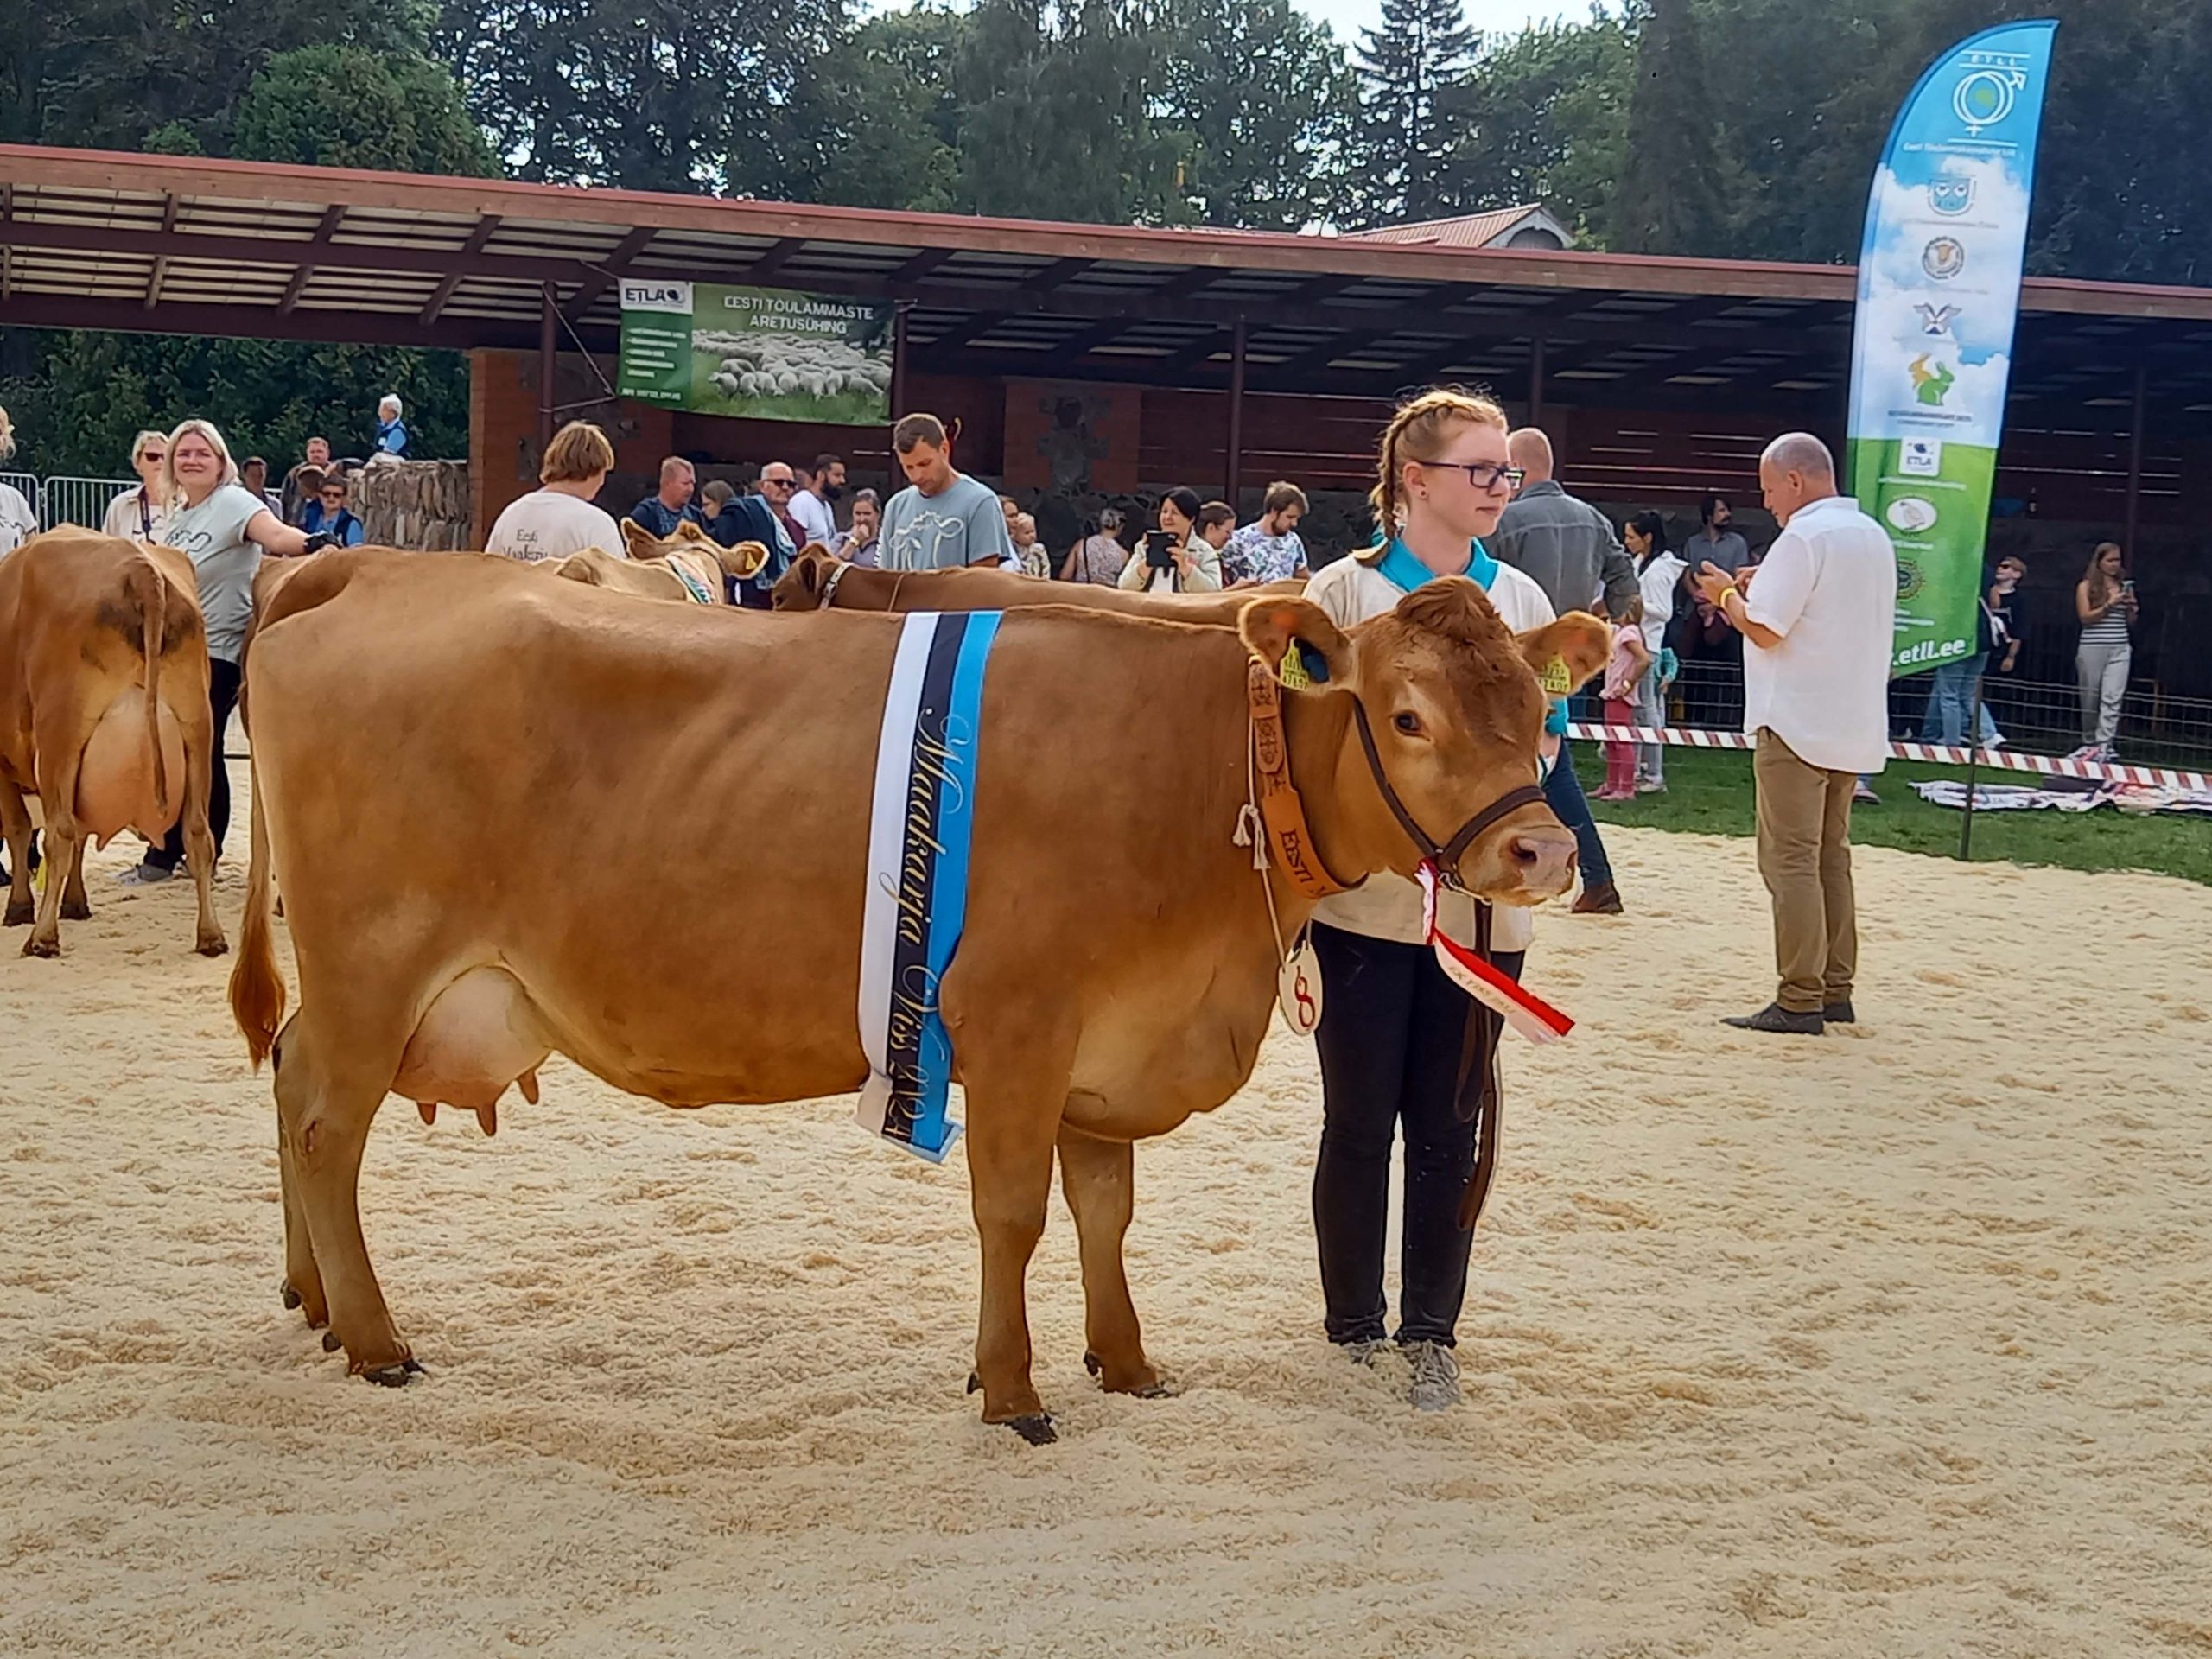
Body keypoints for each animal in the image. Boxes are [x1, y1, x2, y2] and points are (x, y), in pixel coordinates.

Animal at [0, 526, 226, 955]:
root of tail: (140, 569)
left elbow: (20, 830)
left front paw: (19, 908)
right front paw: (75, 903)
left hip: (61, 737)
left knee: (60, 832)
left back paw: (42, 938)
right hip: (197, 734)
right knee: (198, 833)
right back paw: (211, 935)